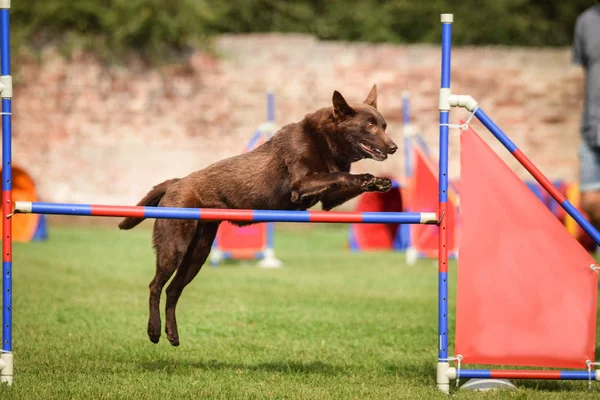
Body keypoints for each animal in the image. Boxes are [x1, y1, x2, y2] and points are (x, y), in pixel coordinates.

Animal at [118, 85, 398, 346]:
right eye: (370, 125)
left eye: (384, 125)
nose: (394, 147)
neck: (325, 140)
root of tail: (177, 182)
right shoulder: (301, 185)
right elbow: (339, 175)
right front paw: (366, 177)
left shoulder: (329, 200)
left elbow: (343, 180)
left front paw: (377, 182)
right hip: (174, 246)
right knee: (155, 285)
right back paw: (154, 331)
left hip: (198, 253)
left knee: (174, 290)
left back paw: (172, 334)